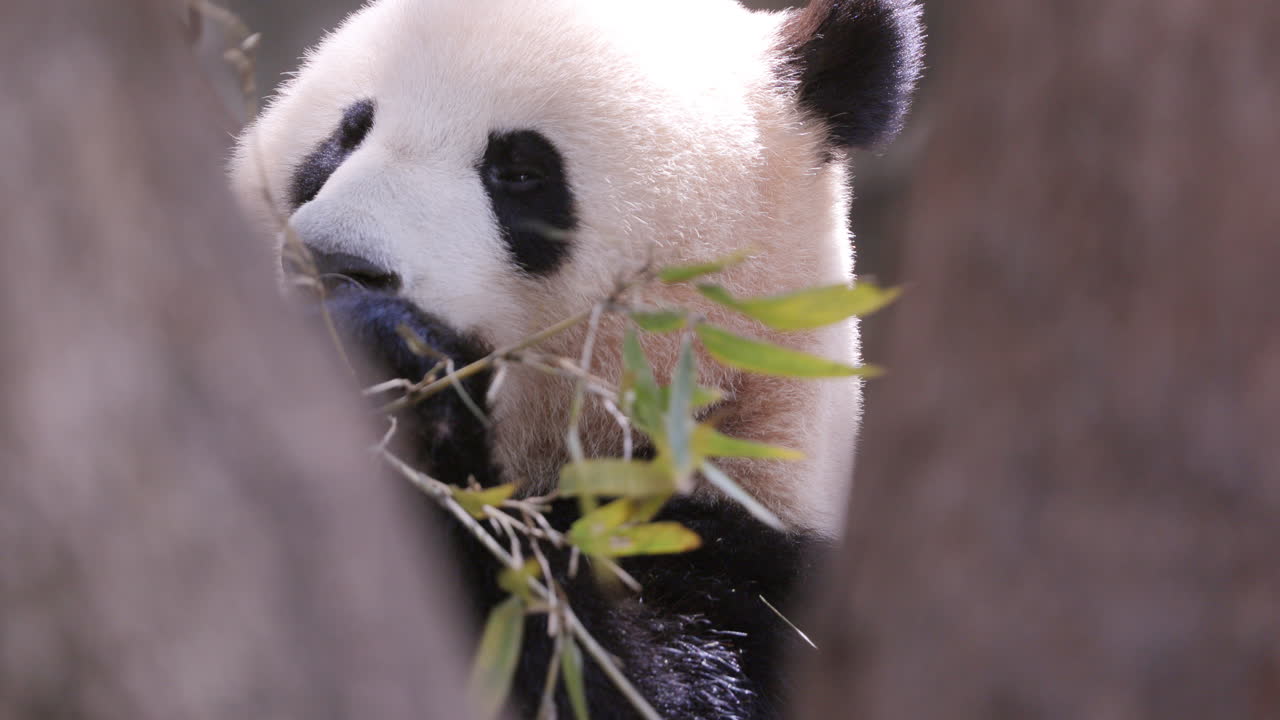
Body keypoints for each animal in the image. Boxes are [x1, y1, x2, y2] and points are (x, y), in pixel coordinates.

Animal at [230, 0, 922, 717]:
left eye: (520, 172)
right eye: (346, 134)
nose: (333, 263)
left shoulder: (764, 567)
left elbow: (607, 673)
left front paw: (388, 362)